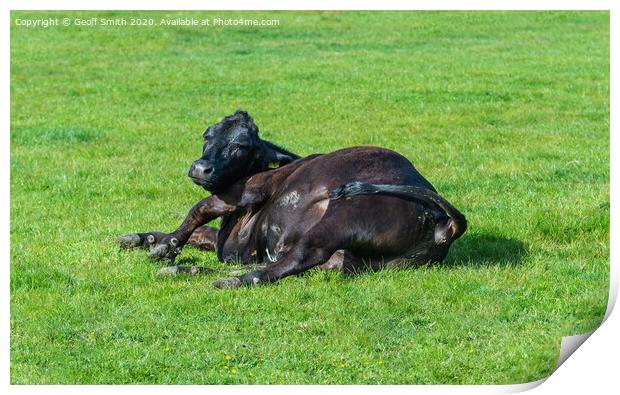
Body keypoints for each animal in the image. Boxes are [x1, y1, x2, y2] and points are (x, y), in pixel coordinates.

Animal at [117, 110, 464, 290]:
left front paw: (167, 245)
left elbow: (200, 209)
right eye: (207, 135)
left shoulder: (250, 189)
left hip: (342, 217)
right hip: (347, 262)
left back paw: (232, 279)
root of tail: (443, 224)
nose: (201, 168)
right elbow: (203, 232)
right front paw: (143, 238)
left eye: (241, 144)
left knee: (297, 258)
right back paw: (190, 271)